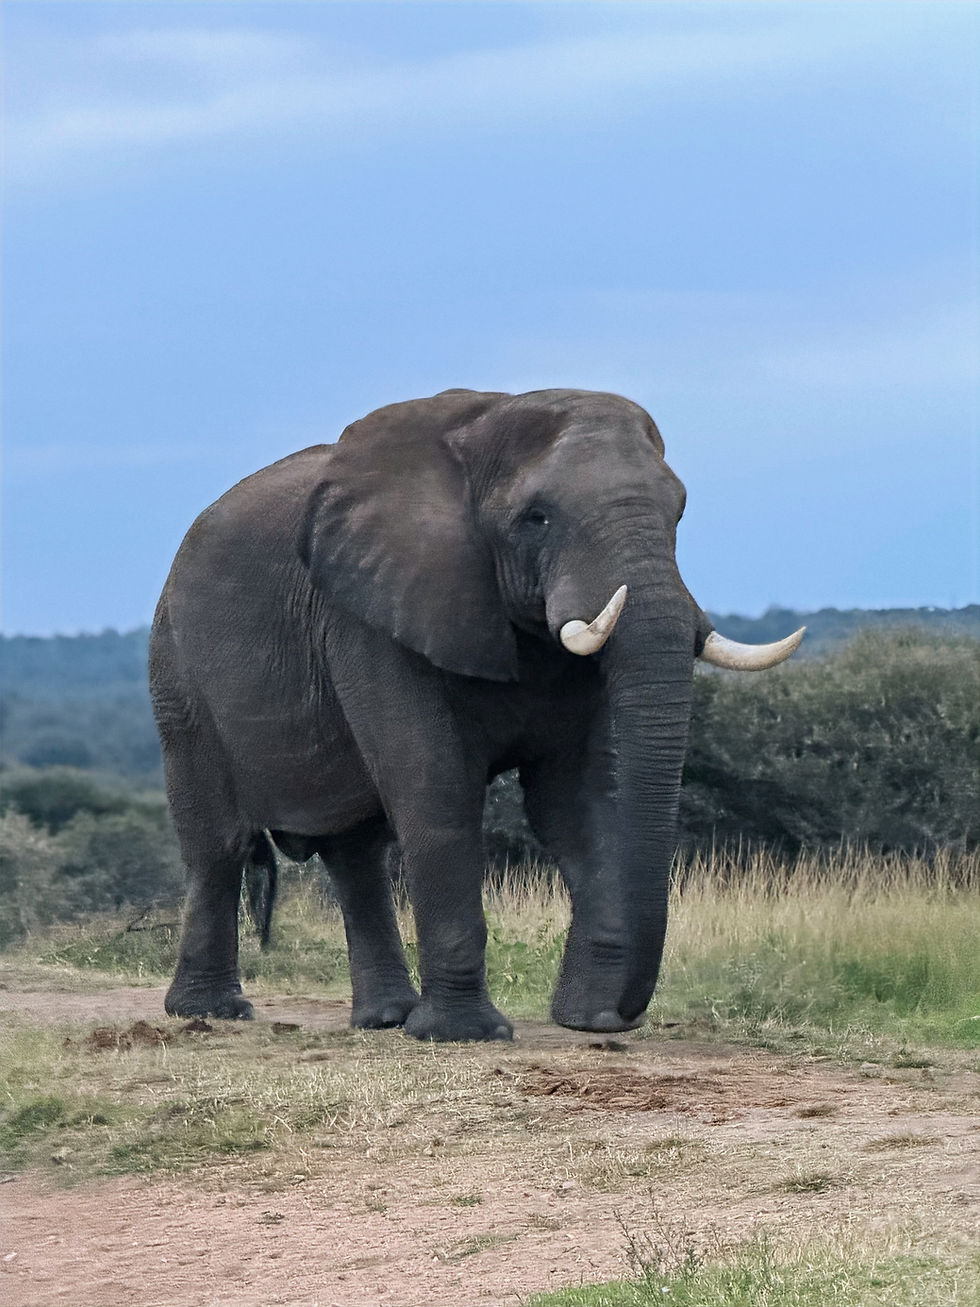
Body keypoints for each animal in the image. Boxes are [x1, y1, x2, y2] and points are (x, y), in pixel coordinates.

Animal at [150, 388, 802, 1040]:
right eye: (537, 518)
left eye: (680, 513)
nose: (624, 1012)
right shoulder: (371, 616)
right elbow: (435, 790)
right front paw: (465, 1034)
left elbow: (581, 804)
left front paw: (587, 1019)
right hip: (178, 673)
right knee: (219, 844)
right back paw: (213, 1012)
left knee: (355, 851)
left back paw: (384, 1019)